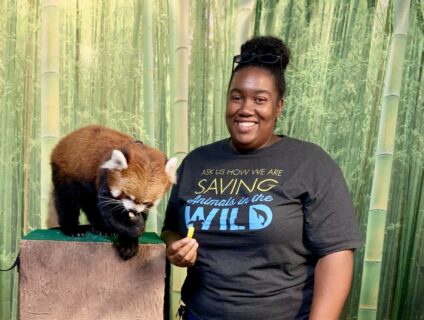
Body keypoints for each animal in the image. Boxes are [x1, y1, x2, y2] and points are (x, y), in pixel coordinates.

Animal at [50, 125, 177, 260]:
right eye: (128, 196)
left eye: (147, 202)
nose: (133, 211)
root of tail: (65, 140)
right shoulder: (105, 177)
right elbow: (111, 212)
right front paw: (134, 229)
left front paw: (129, 242)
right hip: (67, 173)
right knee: (67, 201)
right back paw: (72, 229)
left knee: (91, 205)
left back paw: (99, 227)